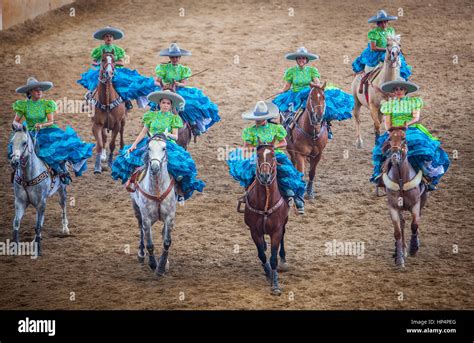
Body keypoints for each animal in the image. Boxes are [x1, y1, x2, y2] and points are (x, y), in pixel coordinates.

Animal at [9, 125, 70, 256]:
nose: (14, 162)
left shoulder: (41, 203)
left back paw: (65, 228)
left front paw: (38, 250)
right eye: (12, 142)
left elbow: (37, 226)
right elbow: (16, 223)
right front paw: (15, 248)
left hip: (62, 189)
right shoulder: (20, 202)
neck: (28, 176)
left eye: (24, 142)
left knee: (63, 205)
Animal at [126, 133, 176, 276]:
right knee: (141, 230)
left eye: (164, 148)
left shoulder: (170, 216)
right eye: (148, 148)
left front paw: (162, 266)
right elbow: (149, 244)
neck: (157, 190)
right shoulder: (146, 218)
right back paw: (141, 254)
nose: (154, 167)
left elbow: (167, 241)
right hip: (137, 210)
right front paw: (153, 264)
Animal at [243, 141, 290, 296]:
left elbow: (273, 258)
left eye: (273, 155)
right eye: (258, 155)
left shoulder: (276, 231)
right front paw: (268, 272)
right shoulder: (254, 231)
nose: (265, 176)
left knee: (283, 236)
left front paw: (275, 284)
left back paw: (283, 259)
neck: (265, 203)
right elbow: (262, 255)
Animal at [384, 127, 428, 268]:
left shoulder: (415, 204)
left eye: (404, 138)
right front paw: (399, 258)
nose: (394, 156)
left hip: (423, 199)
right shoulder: (393, 207)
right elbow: (397, 232)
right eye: (389, 138)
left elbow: (414, 224)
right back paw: (402, 249)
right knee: (402, 223)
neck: (401, 180)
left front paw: (413, 248)